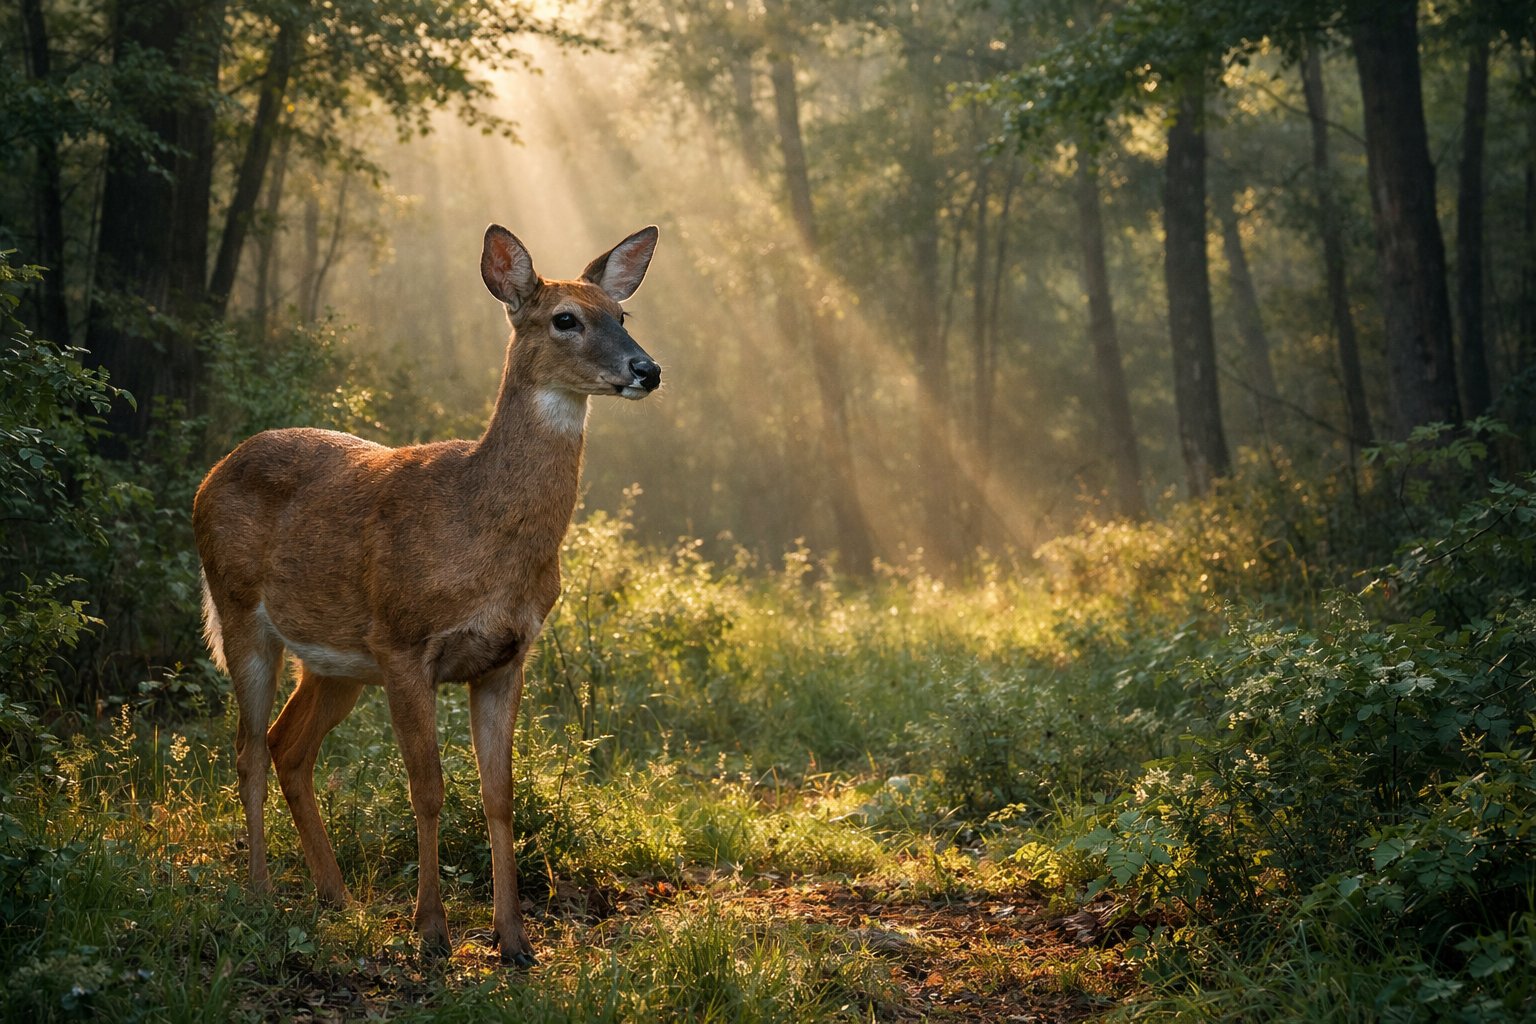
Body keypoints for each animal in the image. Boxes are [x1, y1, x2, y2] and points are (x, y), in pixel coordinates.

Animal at [192, 224, 662, 967]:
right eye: (565, 319)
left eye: (622, 314)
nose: (648, 369)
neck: (481, 529)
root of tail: (210, 476)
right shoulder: (405, 644)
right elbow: (429, 788)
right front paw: (432, 932)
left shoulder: (506, 656)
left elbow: (499, 794)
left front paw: (513, 940)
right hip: (241, 612)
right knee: (246, 748)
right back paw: (262, 895)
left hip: (335, 662)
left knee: (286, 745)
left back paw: (337, 897)